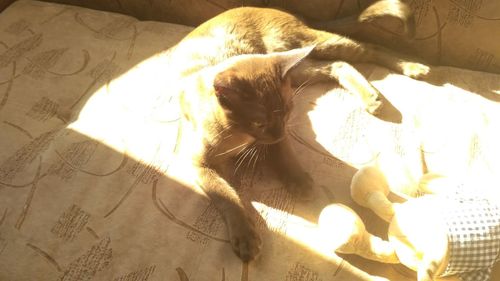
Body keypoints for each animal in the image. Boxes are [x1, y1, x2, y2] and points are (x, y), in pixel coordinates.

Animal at [169, 0, 430, 260]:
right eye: (258, 123)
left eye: (287, 111)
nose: (278, 131)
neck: (239, 137)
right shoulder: (200, 164)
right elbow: (228, 198)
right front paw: (246, 239)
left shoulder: (276, 139)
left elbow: (284, 157)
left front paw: (299, 183)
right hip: (299, 70)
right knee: (338, 65)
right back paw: (374, 96)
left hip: (307, 46)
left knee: (367, 48)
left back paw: (412, 70)